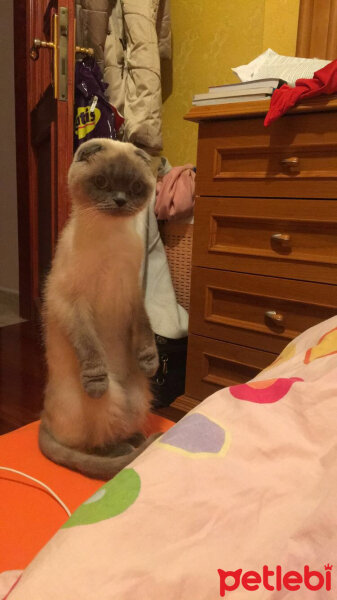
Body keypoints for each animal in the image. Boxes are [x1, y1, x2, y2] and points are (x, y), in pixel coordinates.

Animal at [38, 138, 159, 480]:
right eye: (102, 183)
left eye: (134, 187)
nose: (119, 201)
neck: (111, 239)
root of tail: (43, 417)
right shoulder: (72, 303)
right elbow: (89, 346)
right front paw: (95, 379)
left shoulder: (133, 295)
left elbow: (145, 328)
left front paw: (151, 361)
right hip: (110, 398)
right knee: (89, 446)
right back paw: (123, 449)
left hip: (138, 394)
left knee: (119, 427)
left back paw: (136, 438)